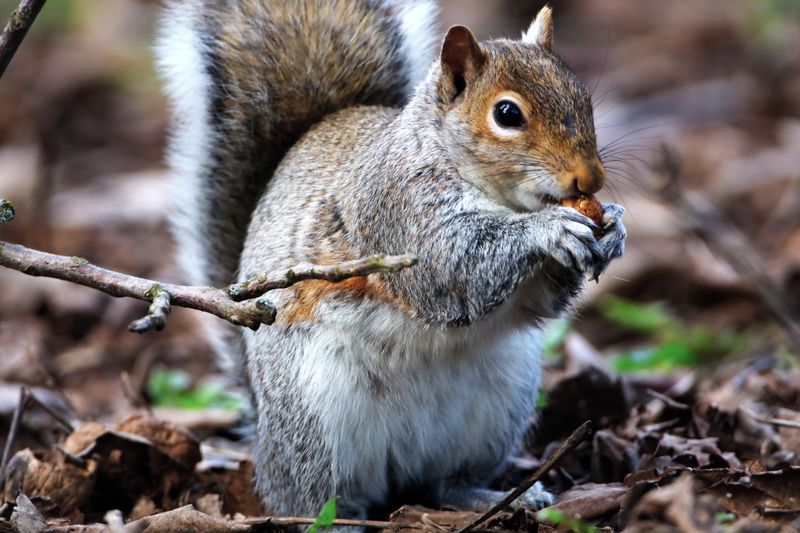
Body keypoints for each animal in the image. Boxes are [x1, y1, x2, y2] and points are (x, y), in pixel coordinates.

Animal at [156, 0, 626, 521]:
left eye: (582, 96)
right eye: (507, 114)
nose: (590, 179)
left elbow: (539, 301)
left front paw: (612, 230)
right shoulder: (397, 211)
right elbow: (452, 268)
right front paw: (549, 229)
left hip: (500, 405)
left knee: (443, 483)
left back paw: (493, 495)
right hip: (315, 424)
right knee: (314, 497)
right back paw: (338, 521)